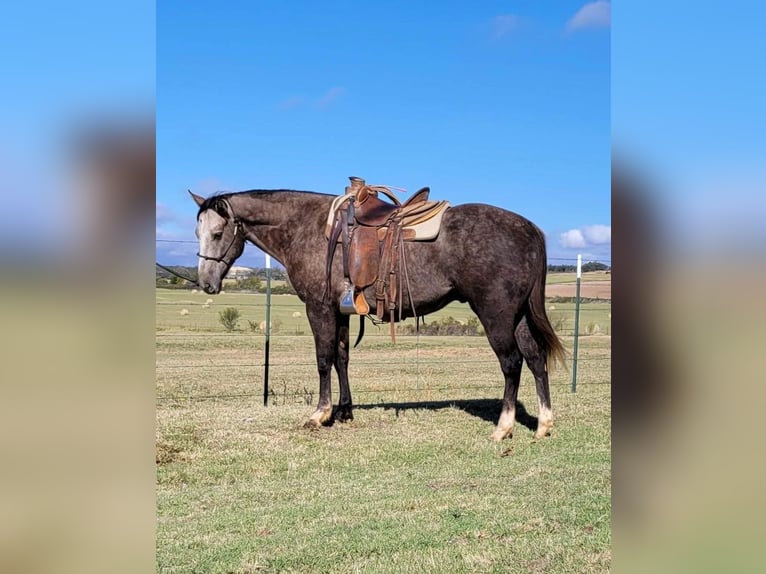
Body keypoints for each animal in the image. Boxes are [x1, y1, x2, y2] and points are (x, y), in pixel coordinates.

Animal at [189, 187, 568, 444]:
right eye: (198, 232)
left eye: (218, 233)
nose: (206, 283)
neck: (308, 228)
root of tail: (529, 228)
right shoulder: (340, 311)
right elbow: (341, 358)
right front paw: (344, 411)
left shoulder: (319, 308)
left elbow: (323, 359)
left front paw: (320, 414)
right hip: (518, 316)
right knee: (535, 359)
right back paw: (544, 424)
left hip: (496, 314)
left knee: (511, 363)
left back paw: (503, 428)